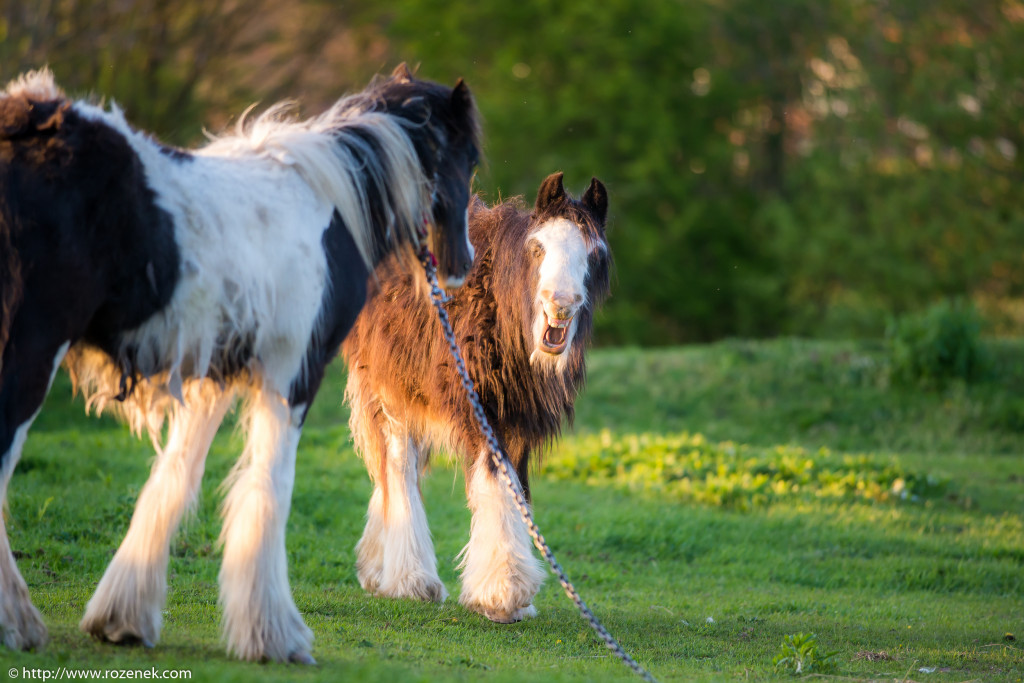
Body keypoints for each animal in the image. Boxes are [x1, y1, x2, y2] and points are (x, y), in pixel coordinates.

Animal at [0, 63, 481, 663]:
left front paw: (122, 619)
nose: (464, 264)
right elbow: (269, 487)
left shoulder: (214, 382)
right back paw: (19, 622)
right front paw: (274, 636)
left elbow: (175, 479)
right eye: (469, 156)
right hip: (32, 349)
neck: (327, 205)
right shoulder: (291, 378)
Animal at [344, 172, 606, 626]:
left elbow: (515, 486)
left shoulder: (520, 417)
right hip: (387, 386)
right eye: (538, 248)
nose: (561, 306)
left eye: (592, 254)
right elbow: (494, 480)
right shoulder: (481, 405)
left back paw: (378, 568)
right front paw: (502, 593)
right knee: (398, 465)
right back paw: (412, 580)